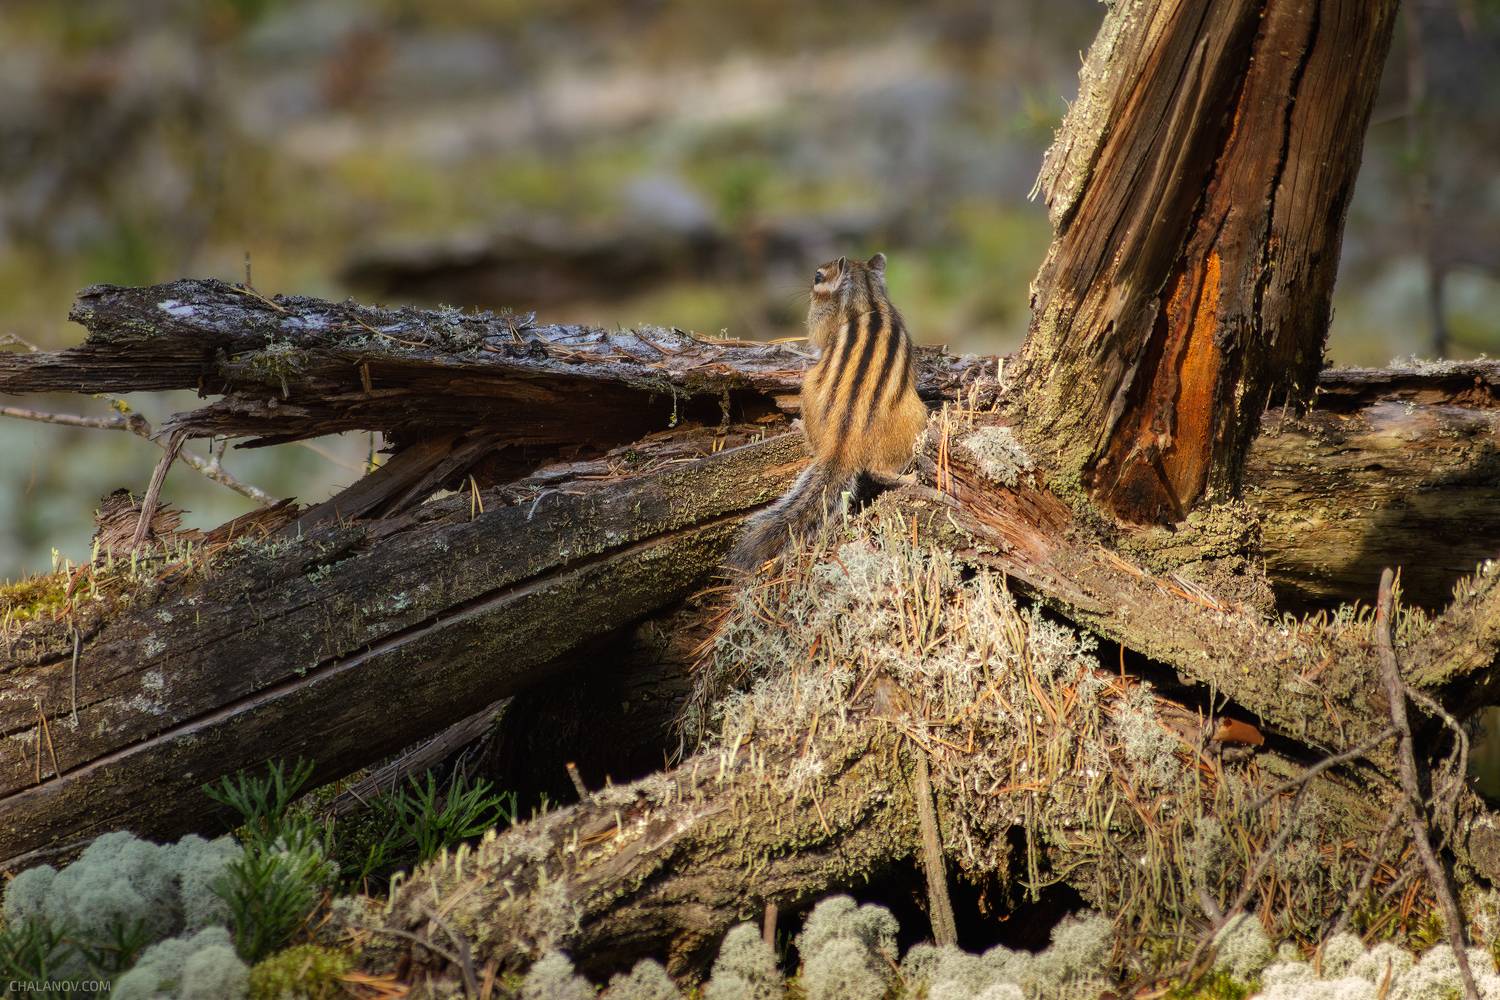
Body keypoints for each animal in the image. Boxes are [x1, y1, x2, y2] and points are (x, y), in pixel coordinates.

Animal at [729, 252, 928, 571]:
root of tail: (842, 442)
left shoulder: (821, 322)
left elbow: (818, 345)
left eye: (817, 276)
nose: (807, 287)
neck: (867, 297)